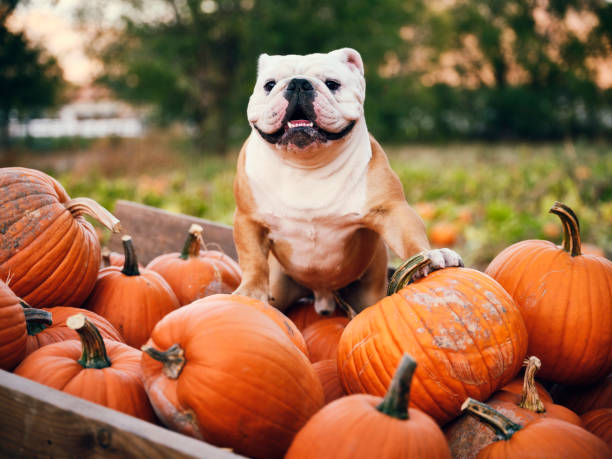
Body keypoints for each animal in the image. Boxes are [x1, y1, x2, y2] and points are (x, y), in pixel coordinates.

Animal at [232, 49, 462, 316]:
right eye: (269, 85)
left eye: (333, 84)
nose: (298, 83)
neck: (306, 165)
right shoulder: (249, 220)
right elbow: (253, 260)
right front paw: (250, 292)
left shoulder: (392, 210)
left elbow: (410, 238)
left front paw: (429, 256)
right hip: (280, 285)